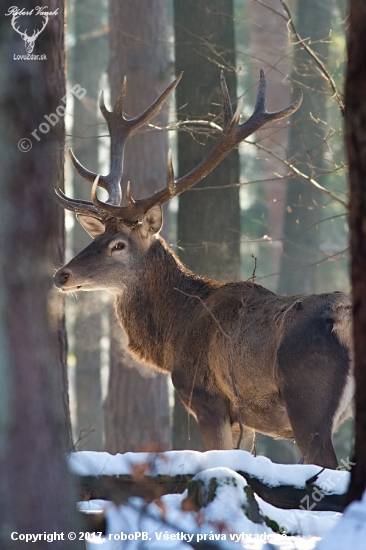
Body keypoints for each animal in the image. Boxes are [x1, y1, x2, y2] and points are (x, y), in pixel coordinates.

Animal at [53, 72, 354, 470]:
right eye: (98, 236)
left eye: (118, 244)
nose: (61, 275)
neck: (174, 336)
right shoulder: (246, 420)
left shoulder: (207, 399)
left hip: (309, 402)